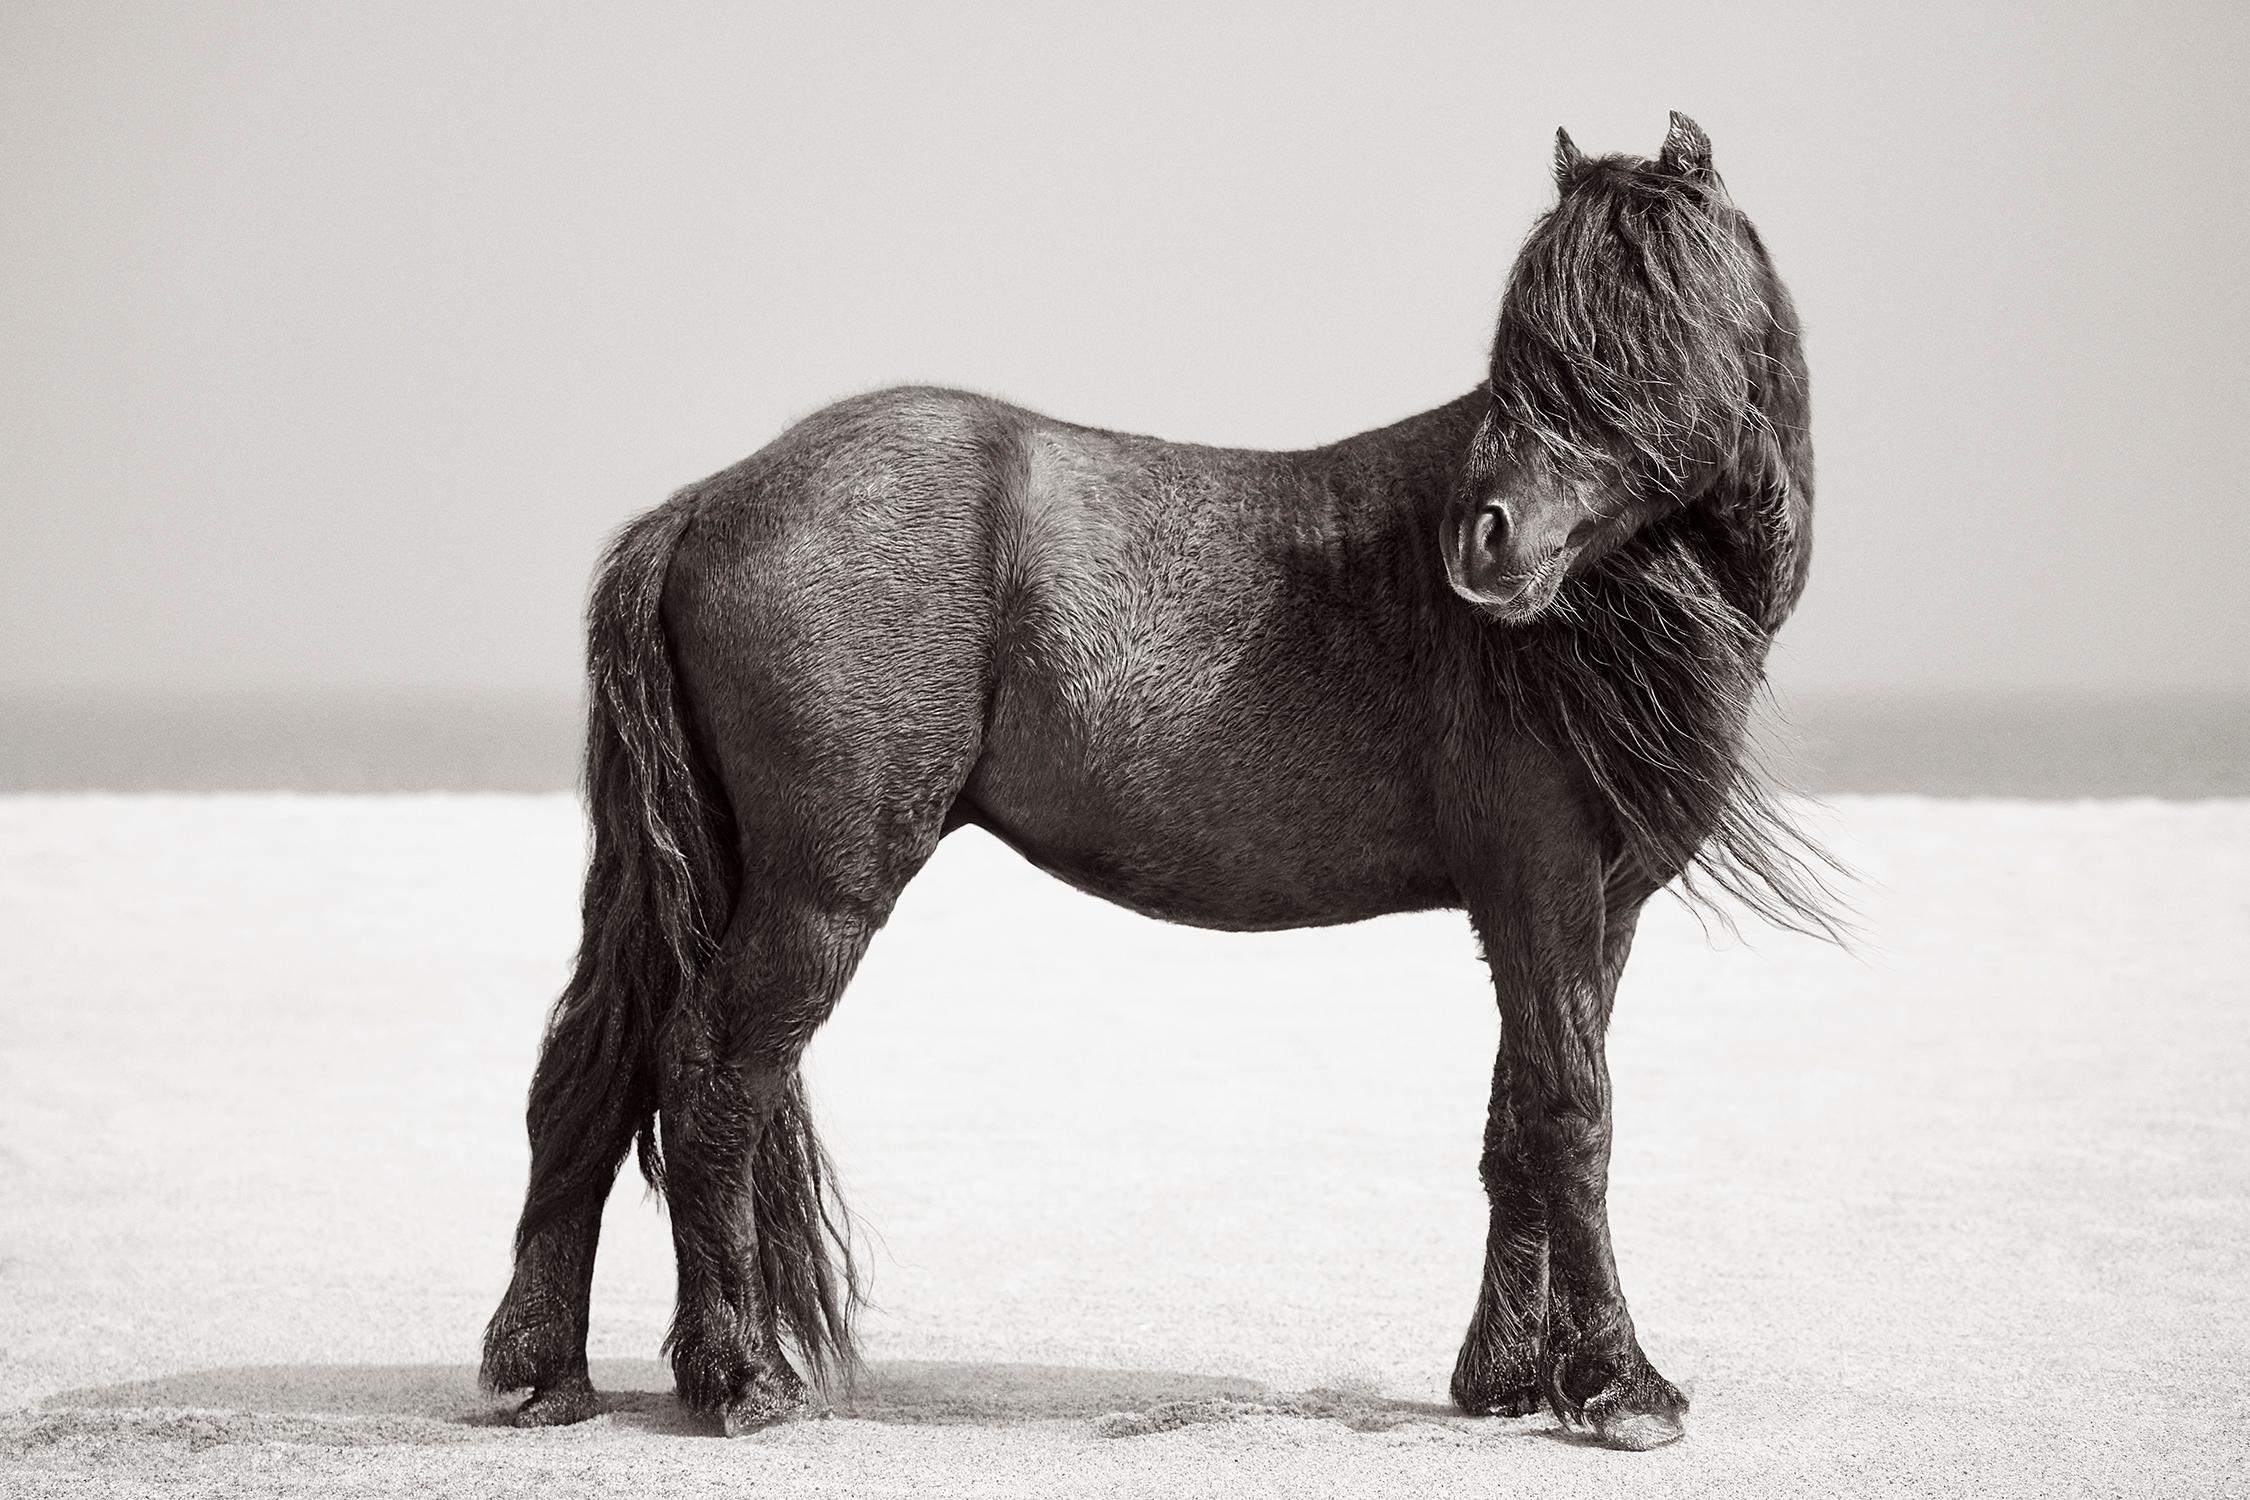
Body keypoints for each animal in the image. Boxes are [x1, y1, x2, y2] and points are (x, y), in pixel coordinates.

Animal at [479, 111, 1836, 1452]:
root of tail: (704, 504)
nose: (1484, 541)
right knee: (711, 1079)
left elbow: (1519, 1123)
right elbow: (1571, 1119)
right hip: (820, 891)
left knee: (594, 1069)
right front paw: (1621, 1387)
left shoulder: (1594, 912)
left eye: (1645, 319)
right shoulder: (1538, 891)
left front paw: (1505, 1378)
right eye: (1531, 334)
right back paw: (738, 1378)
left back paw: (546, 1373)